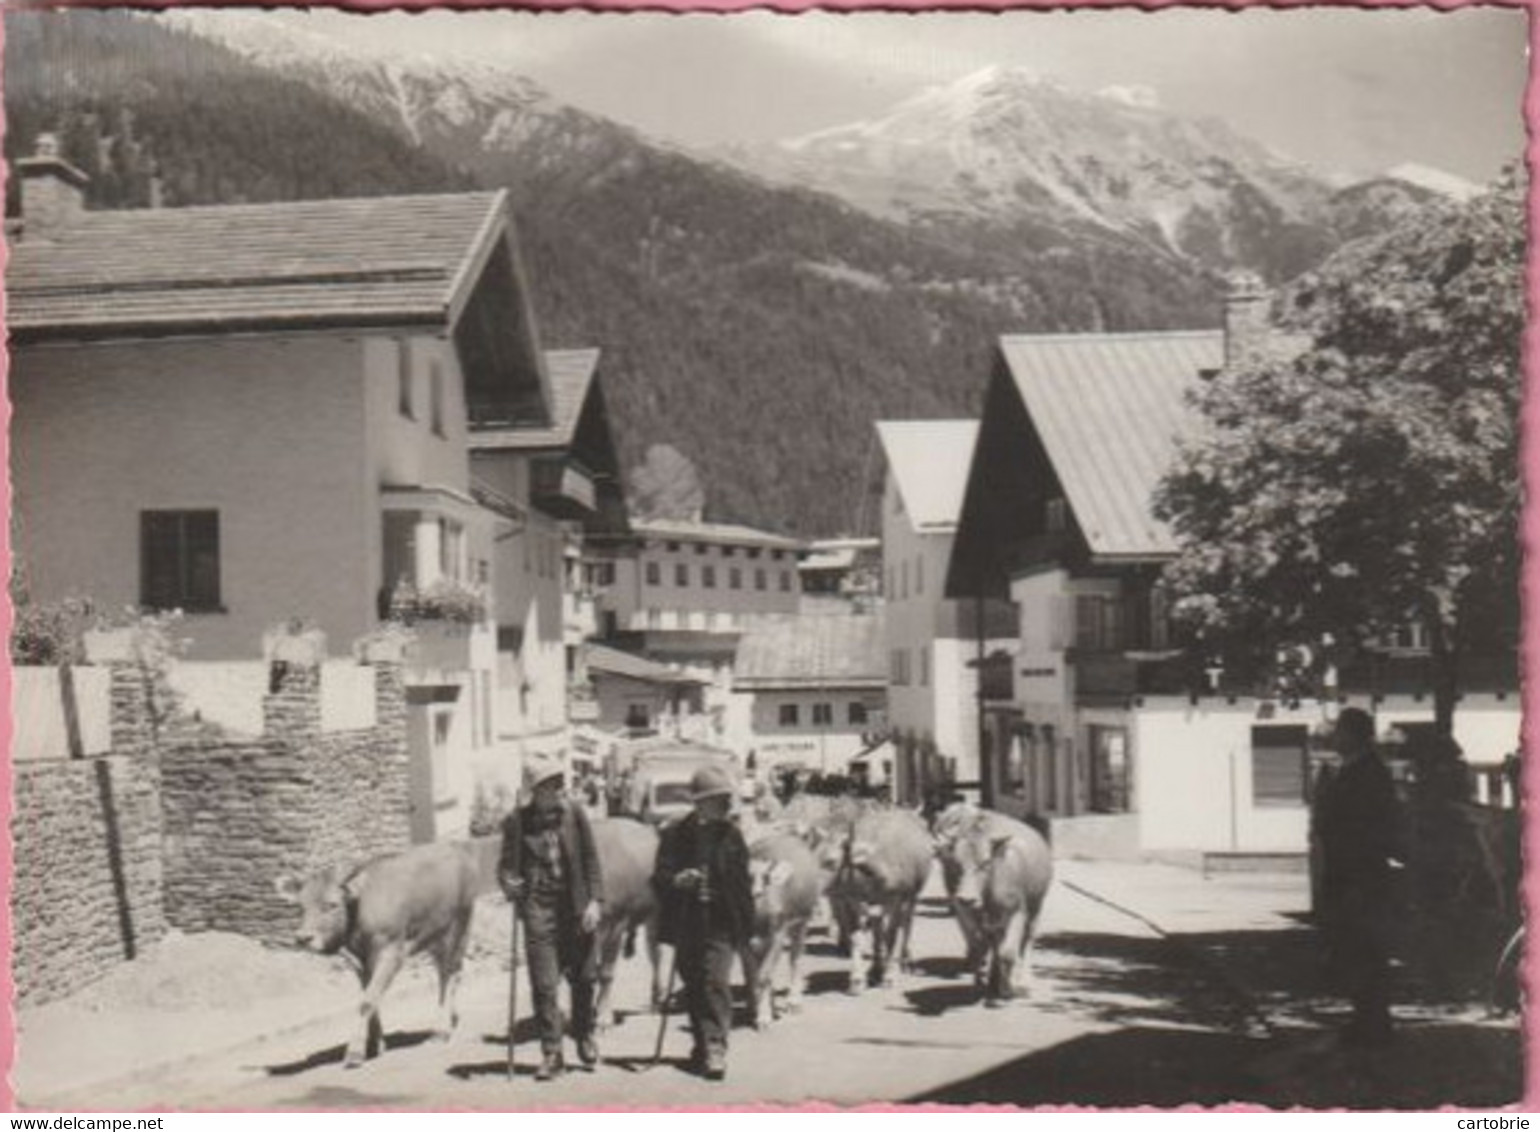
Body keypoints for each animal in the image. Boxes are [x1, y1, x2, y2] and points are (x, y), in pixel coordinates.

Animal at [271, 843, 474, 1071]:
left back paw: (441, 1030)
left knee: (450, 975)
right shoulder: (361, 962)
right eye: (301, 906)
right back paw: (452, 1018)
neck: (360, 906)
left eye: (332, 905)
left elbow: (366, 1002)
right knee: (446, 972)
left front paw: (355, 1053)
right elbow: (371, 997)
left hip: (457, 929)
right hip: (434, 937)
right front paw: (376, 1045)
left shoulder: (391, 952)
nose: (303, 938)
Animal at [739, 825, 825, 1028]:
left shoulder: (777, 936)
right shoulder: (743, 941)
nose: (755, 894)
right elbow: (752, 976)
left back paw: (794, 1001)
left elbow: (764, 976)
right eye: (744, 876)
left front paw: (763, 1017)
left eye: (765, 878)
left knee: (795, 957)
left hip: (801, 922)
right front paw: (755, 1008)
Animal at [825, 807, 930, 991]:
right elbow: (857, 937)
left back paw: (905, 960)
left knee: (907, 925)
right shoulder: (854, 901)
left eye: (830, 862)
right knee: (878, 929)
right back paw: (876, 969)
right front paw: (857, 979)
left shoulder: (896, 901)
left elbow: (892, 936)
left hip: (912, 898)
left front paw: (889, 976)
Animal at [930, 807, 1053, 1010]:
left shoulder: (1016, 912)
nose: (967, 897)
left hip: (1036, 906)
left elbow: (1008, 953)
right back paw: (994, 983)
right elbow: (978, 948)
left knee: (1027, 939)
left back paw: (1023, 981)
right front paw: (981, 985)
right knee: (994, 945)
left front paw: (1008, 990)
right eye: (956, 863)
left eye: (985, 863)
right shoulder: (966, 914)